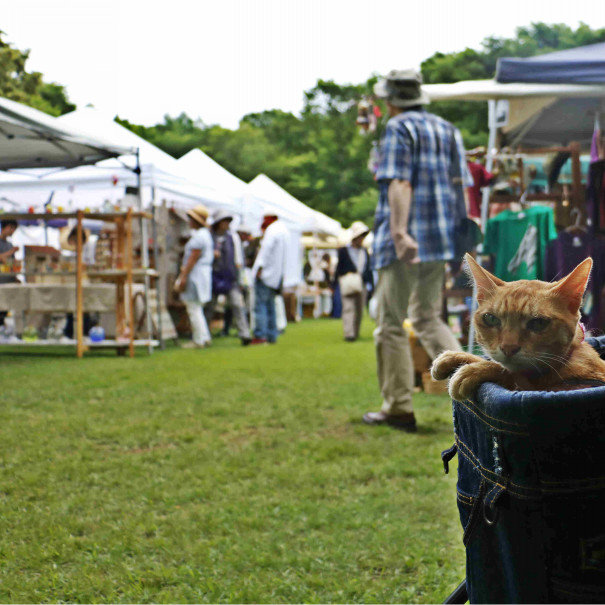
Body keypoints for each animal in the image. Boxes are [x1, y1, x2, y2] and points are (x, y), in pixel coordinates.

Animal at [432, 251, 604, 402]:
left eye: (538, 322)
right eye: (491, 319)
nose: (508, 347)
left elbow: (510, 374)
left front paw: (475, 370)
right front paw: (456, 357)